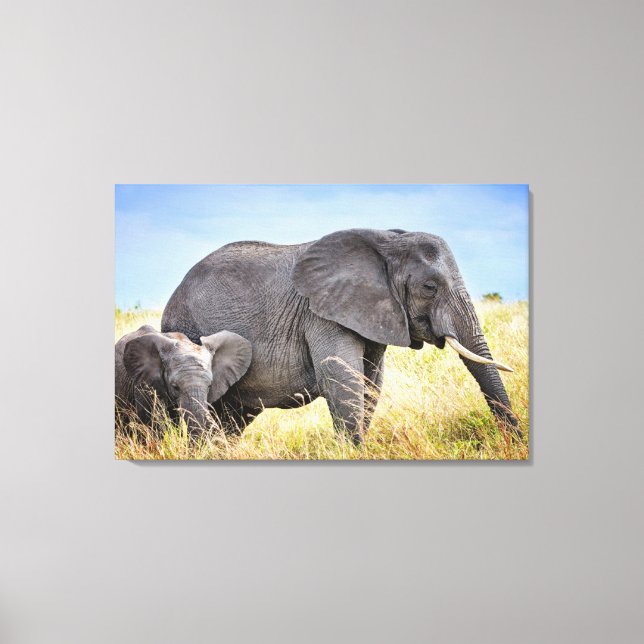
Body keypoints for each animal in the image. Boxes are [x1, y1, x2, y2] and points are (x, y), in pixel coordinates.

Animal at [161, 228, 517, 444]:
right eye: (430, 287)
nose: (512, 440)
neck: (386, 240)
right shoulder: (321, 314)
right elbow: (341, 376)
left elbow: (371, 383)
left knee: (233, 418)